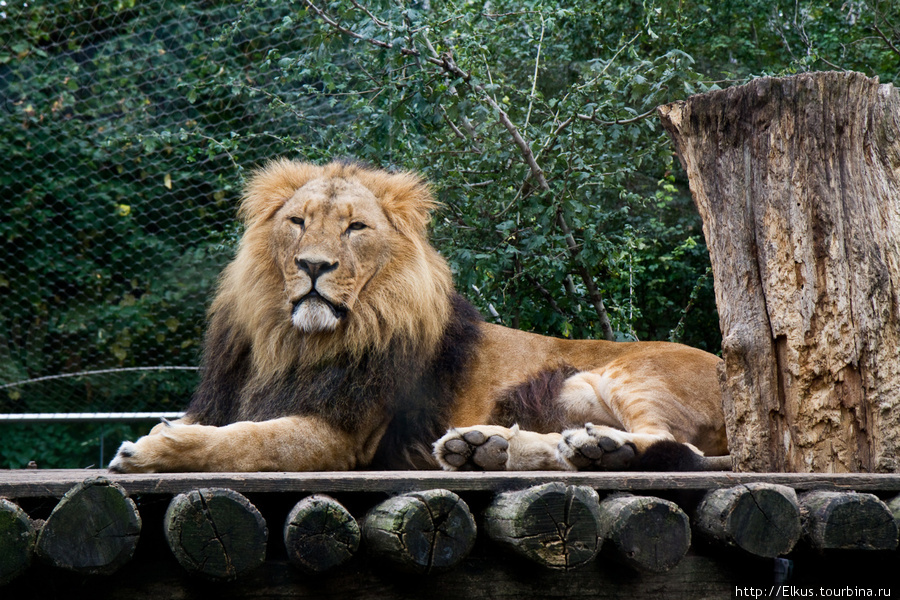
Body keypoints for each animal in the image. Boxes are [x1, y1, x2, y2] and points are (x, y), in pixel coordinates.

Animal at [109, 158, 728, 474]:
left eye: (356, 227)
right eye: (297, 222)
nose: (313, 266)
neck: (295, 341)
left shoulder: (343, 437)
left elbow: (246, 442)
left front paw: (153, 449)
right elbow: (223, 426)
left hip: (634, 374)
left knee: (682, 449)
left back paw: (600, 450)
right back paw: (487, 448)